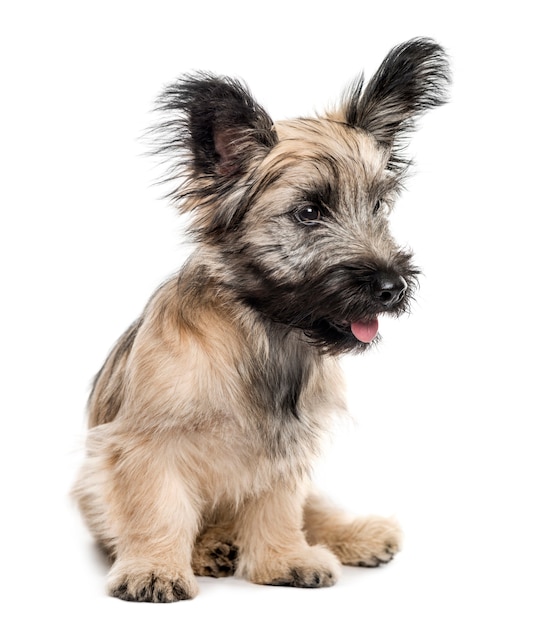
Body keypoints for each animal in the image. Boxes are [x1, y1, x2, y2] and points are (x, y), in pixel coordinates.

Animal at [72, 37, 448, 600]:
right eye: (309, 212)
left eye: (380, 205)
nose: (392, 287)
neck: (264, 333)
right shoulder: (149, 444)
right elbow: (158, 507)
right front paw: (154, 570)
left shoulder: (285, 448)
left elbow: (281, 508)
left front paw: (284, 560)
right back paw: (209, 548)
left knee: (314, 509)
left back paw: (355, 534)